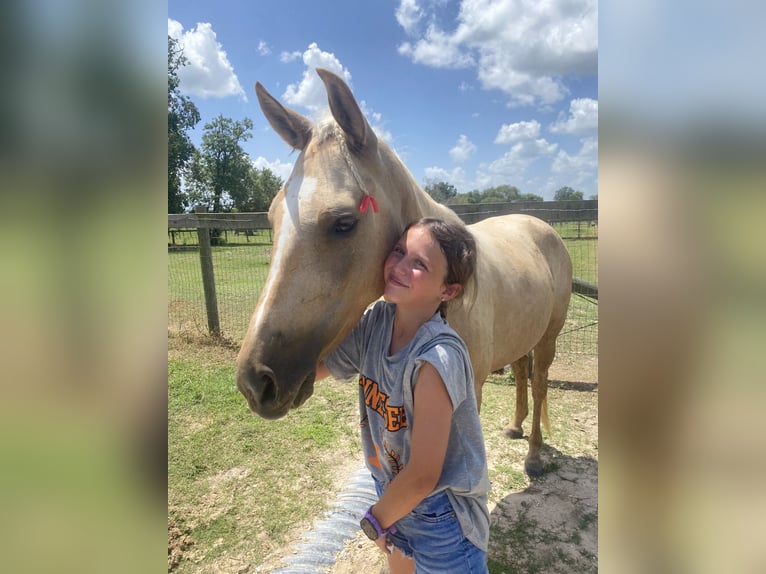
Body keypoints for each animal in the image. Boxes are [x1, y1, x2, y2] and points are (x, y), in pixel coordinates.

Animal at [236, 68, 572, 476]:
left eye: (344, 223)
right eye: (272, 217)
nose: (255, 382)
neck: (448, 303)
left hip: (549, 337)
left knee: (539, 383)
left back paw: (534, 455)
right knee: (522, 371)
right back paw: (515, 425)